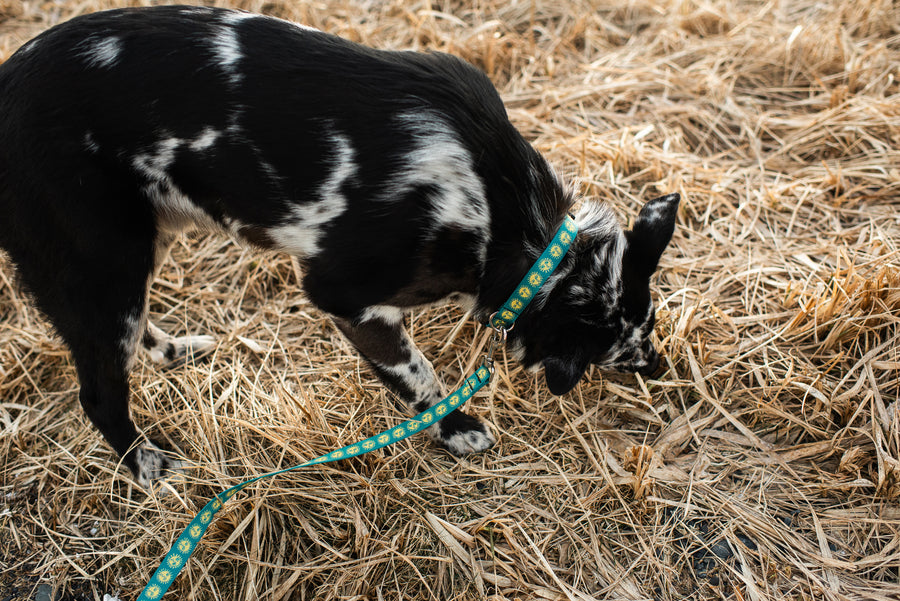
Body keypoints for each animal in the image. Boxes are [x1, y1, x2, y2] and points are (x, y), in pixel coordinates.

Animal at [0, 4, 676, 488]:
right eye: (619, 350)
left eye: (648, 324)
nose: (660, 366)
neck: (502, 214)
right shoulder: (348, 297)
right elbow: (420, 377)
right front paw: (457, 431)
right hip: (100, 265)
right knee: (99, 393)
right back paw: (149, 467)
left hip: (137, 250)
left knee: (136, 335)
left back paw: (177, 352)